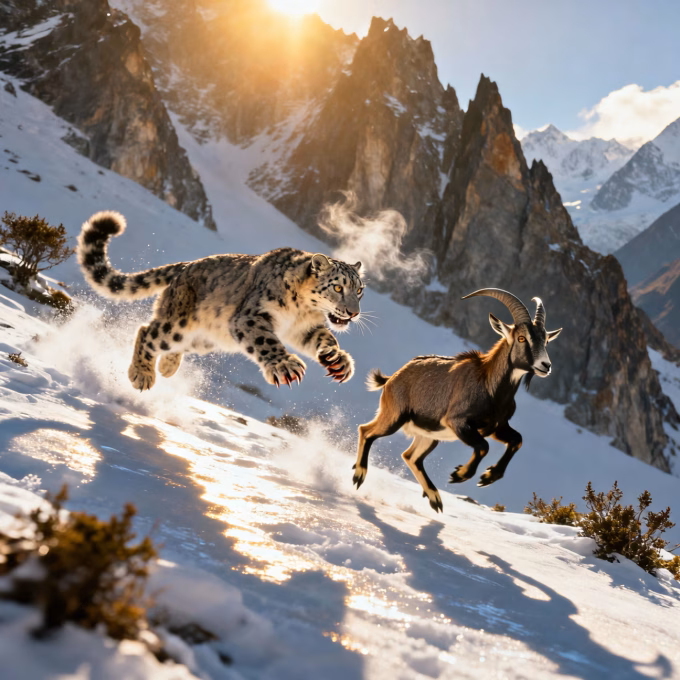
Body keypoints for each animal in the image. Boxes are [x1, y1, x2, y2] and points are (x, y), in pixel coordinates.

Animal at [77, 211, 365, 391]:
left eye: (360, 290)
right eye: (338, 287)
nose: (353, 313)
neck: (302, 312)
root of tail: (185, 267)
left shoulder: (304, 329)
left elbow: (325, 337)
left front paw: (338, 360)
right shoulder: (250, 317)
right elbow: (266, 341)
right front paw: (284, 365)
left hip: (205, 339)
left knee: (171, 343)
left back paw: (168, 366)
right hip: (179, 324)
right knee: (147, 331)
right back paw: (142, 374)